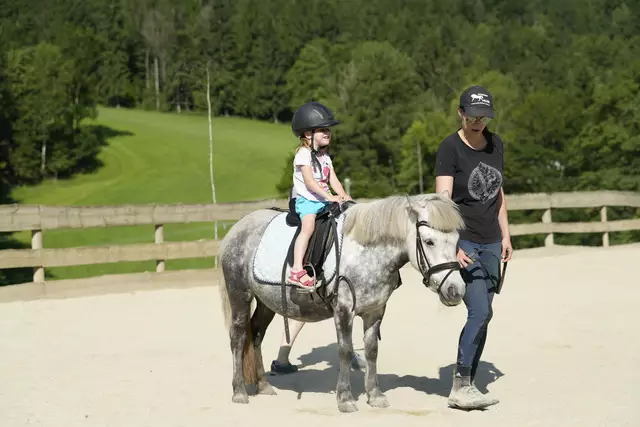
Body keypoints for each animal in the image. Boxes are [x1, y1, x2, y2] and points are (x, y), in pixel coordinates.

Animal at [218, 192, 467, 413]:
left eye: (456, 241)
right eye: (429, 241)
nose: (456, 290)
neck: (366, 252)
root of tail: (237, 227)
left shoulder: (375, 311)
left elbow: (372, 351)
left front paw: (375, 395)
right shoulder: (344, 310)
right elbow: (345, 351)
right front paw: (345, 398)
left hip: (266, 303)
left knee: (256, 334)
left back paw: (263, 385)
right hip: (240, 294)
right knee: (238, 337)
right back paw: (239, 391)